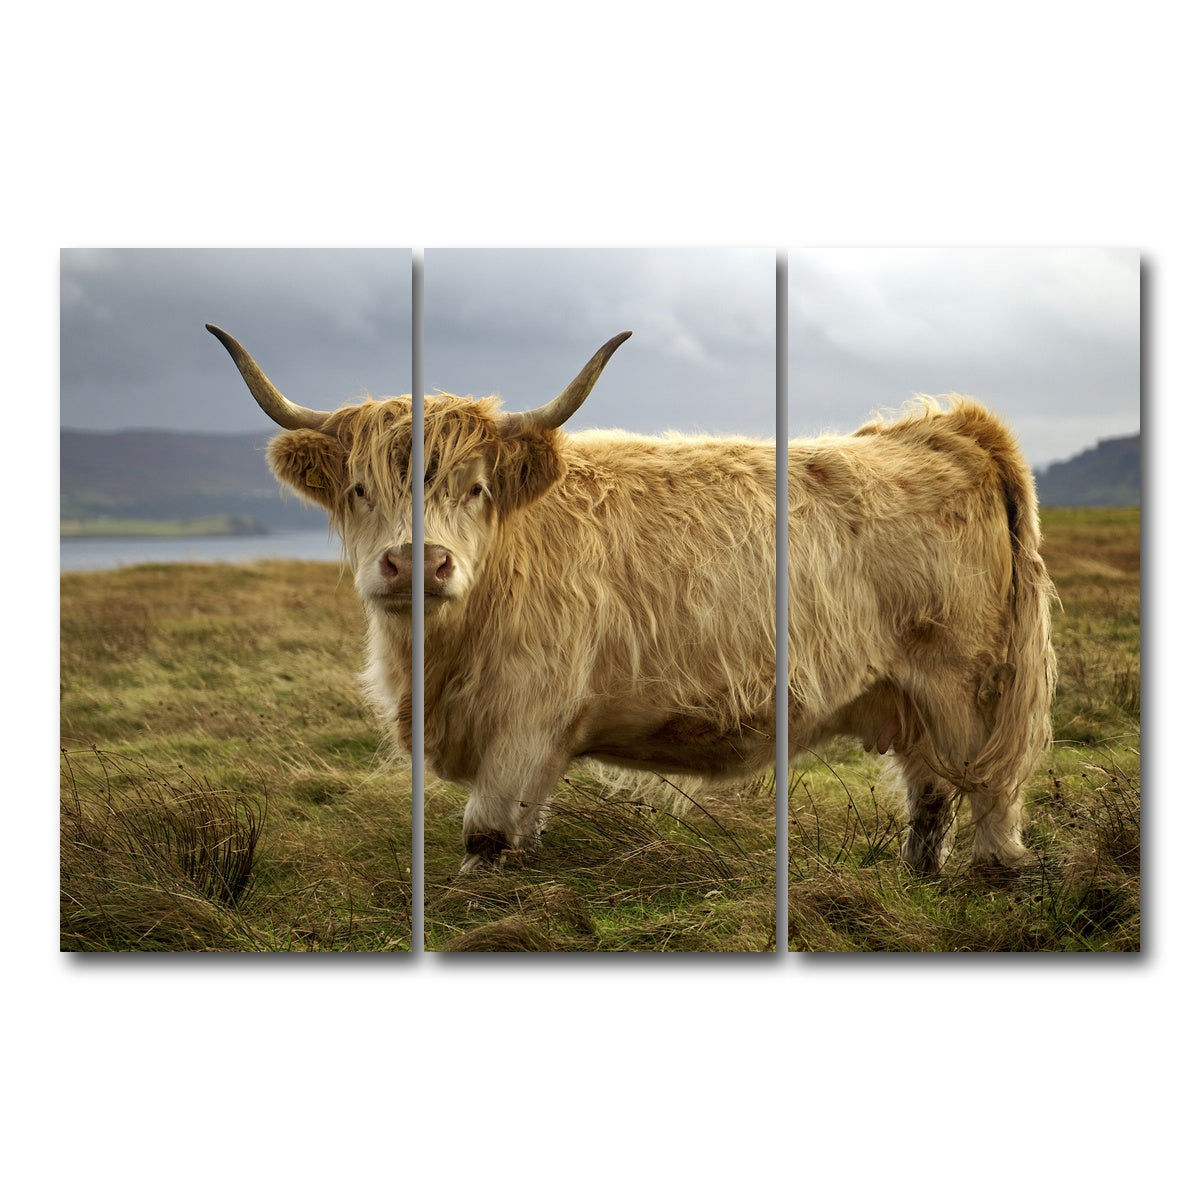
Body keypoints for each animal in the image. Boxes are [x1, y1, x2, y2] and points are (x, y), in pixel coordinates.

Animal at [207, 324, 1055, 876]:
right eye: (359, 489)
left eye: (475, 488)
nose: (419, 561)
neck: (435, 662)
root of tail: (947, 427)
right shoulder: (538, 740)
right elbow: (524, 832)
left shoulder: (525, 718)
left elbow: (485, 837)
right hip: (909, 694)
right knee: (930, 791)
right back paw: (918, 876)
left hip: (969, 686)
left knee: (991, 790)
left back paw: (990, 874)